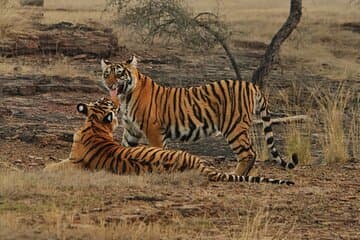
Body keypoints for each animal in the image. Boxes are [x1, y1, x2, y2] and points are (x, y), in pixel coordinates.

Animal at [43, 97, 294, 186]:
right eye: (106, 102)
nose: (115, 102)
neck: (95, 125)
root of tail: (201, 166)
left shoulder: (74, 162)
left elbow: (52, 166)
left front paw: (45, 168)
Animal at [100, 56, 298, 176]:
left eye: (119, 74)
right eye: (106, 74)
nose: (109, 85)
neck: (125, 96)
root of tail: (251, 85)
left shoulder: (153, 129)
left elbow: (157, 152)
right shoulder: (131, 130)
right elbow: (123, 149)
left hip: (234, 127)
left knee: (248, 153)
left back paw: (235, 176)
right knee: (251, 153)